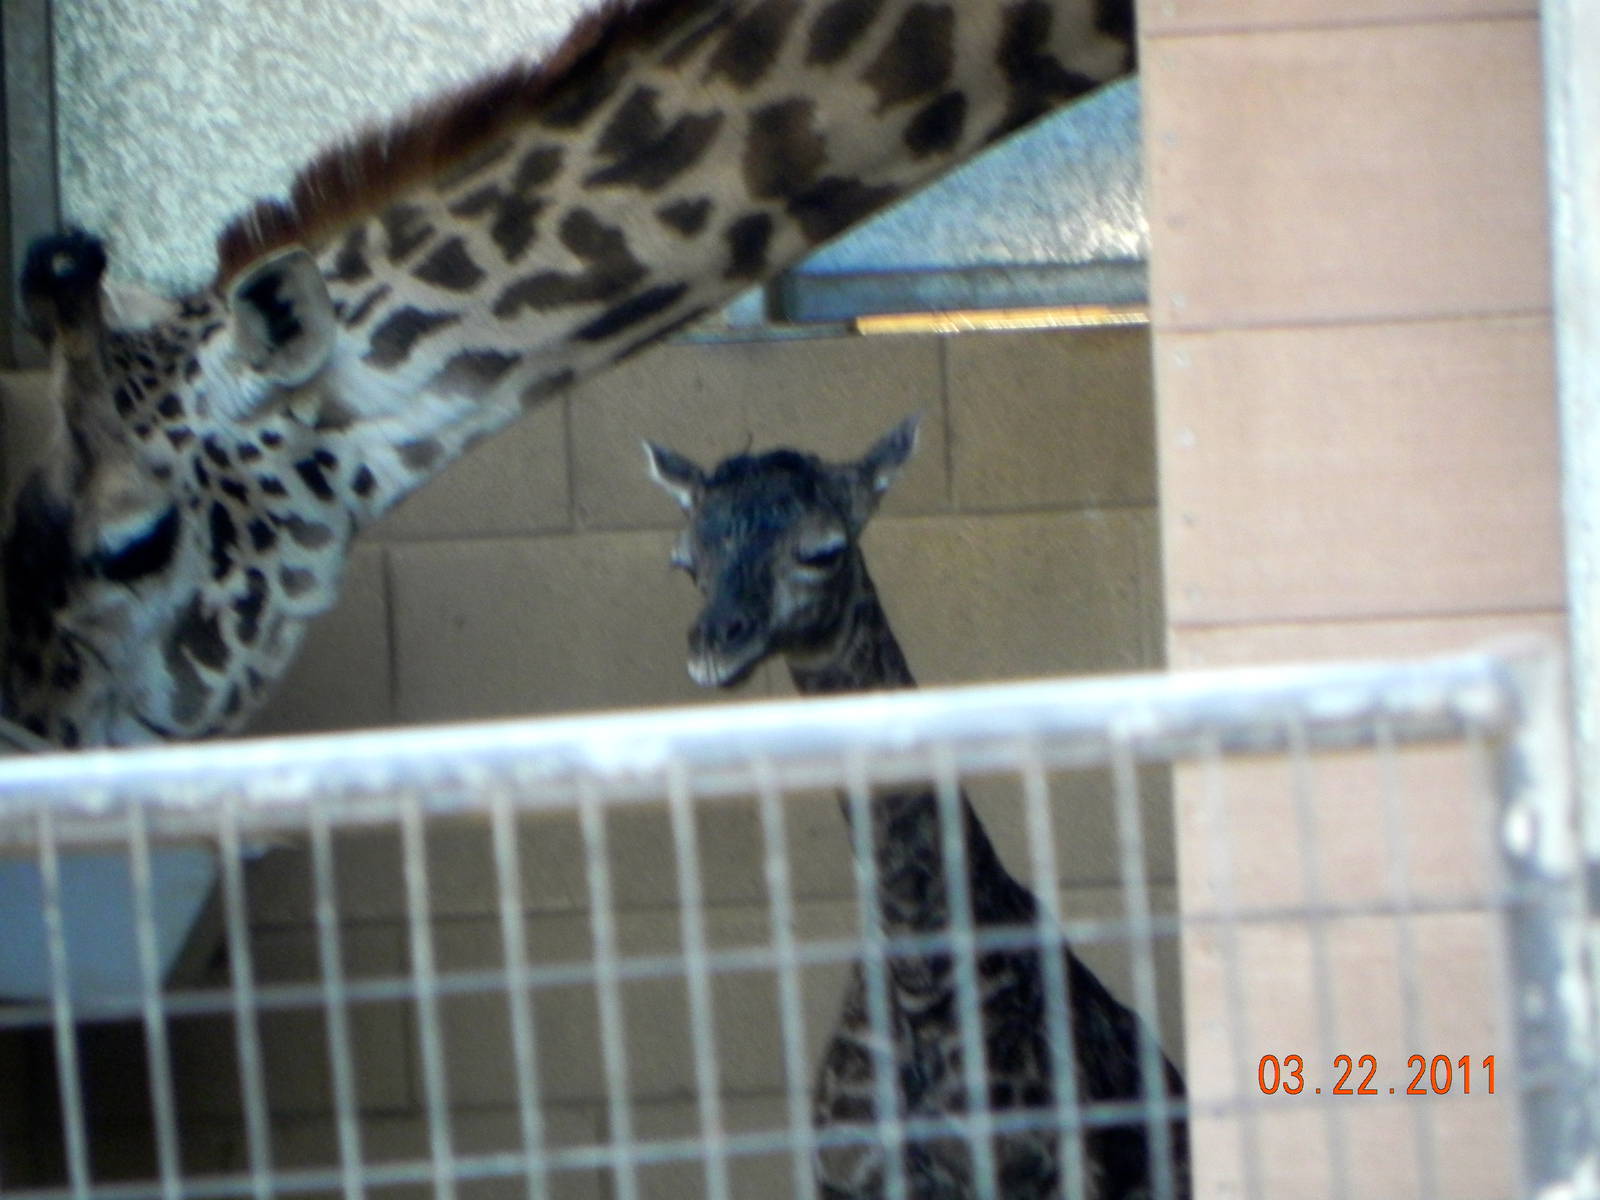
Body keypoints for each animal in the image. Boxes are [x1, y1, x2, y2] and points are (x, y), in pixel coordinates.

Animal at [644, 415, 1189, 1198]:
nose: (715, 643)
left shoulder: (1049, 1175)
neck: (918, 977)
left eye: (822, 549)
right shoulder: (844, 1180)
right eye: (686, 560)